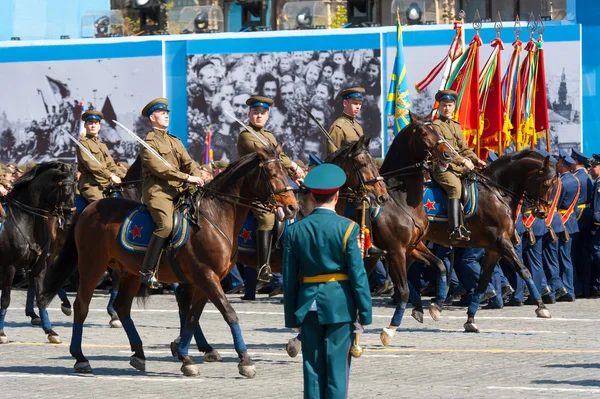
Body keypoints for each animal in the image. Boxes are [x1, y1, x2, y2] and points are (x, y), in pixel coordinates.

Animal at [0, 162, 75, 344]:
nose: (70, 217)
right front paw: (2, 333)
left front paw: (50, 331)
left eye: (75, 185)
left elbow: (40, 297)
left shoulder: (39, 265)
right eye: (64, 186)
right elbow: (5, 299)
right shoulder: (9, 266)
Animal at [39, 145, 298, 378]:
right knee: (81, 306)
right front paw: (245, 361)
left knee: (123, 307)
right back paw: (81, 358)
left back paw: (139, 354)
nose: (291, 207)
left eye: (286, 171)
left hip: (131, 273)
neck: (214, 216)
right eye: (272, 173)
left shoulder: (205, 280)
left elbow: (193, 316)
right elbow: (229, 313)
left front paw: (185, 356)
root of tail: (89, 208)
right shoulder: (206, 276)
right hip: (92, 265)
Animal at [380, 148, 556, 346]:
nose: (542, 212)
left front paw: (470, 320)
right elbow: (523, 270)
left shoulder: (493, 249)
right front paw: (541, 307)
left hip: (412, 245)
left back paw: (418, 306)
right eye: (546, 183)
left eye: (554, 184)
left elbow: (482, 282)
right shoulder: (502, 242)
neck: (497, 193)